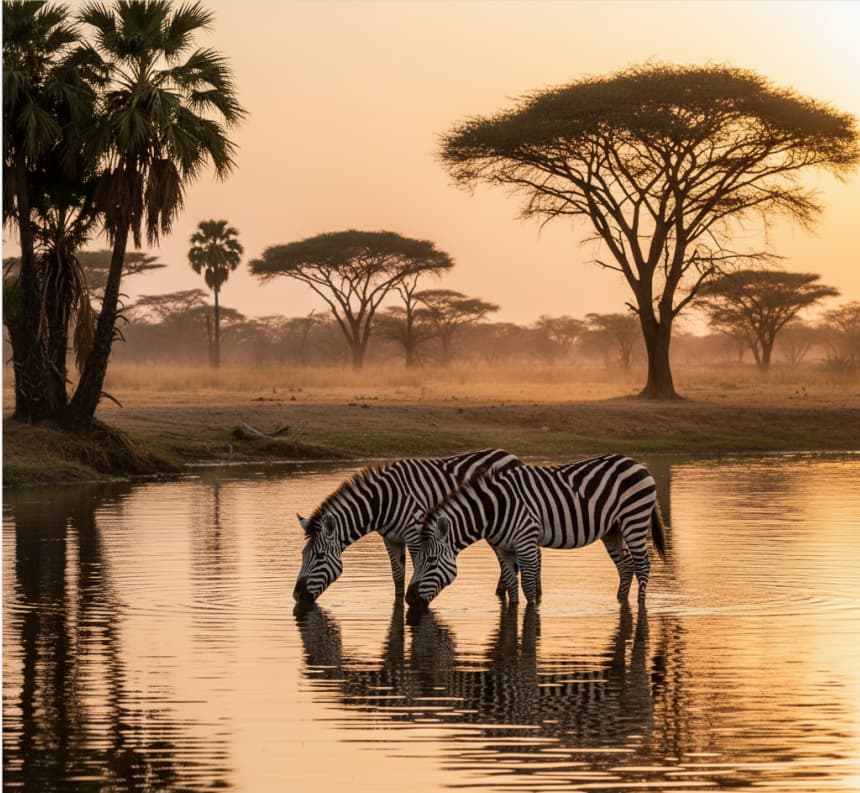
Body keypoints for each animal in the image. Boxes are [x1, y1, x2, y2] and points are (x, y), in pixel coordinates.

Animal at [293, 448, 521, 604]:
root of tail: (510, 455)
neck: (383, 503)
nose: (296, 596)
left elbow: (418, 567)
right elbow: (397, 576)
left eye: (320, 556)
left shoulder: (415, 534)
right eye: (303, 556)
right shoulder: (390, 539)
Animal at [405, 453, 666, 609]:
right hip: (612, 531)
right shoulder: (504, 548)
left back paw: (641, 605)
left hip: (634, 520)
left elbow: (529, 586)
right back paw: (620, 601)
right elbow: (512, 585)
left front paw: (531, 615)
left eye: (431, 560)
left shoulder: (526, 543)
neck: (494, 510)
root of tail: (634, 462)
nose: (409, 599)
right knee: (627, 566)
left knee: (643, 565)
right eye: (415, 559)